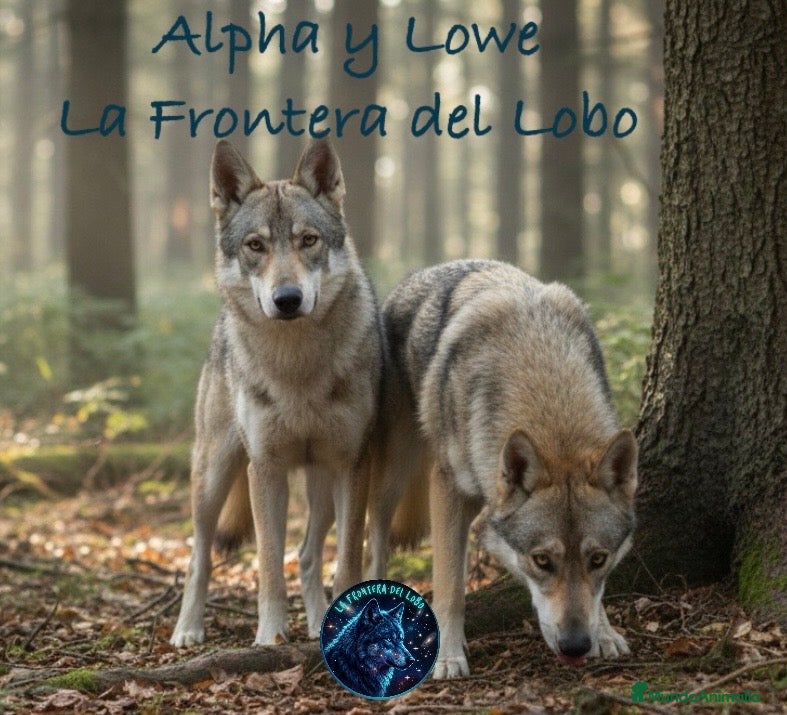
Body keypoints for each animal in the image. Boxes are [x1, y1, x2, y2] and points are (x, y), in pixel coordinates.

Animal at [170, 139, 383, 647]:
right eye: (256, 246)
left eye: (308, 240)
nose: (287, 299)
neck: (296, 368)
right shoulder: (264, 468)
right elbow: (268, 564)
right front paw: (270, 636)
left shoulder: (353, 464)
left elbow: (346, 560)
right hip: (214, 474)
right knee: (199, 555)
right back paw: (187, 629)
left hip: (321, 482)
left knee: (307, 555)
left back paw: (319, 620)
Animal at [366, 259, 637, 678]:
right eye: (542, 561)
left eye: (598, 559)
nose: (575, 646)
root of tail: (418, 275)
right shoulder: (446, 485)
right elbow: (450, 586)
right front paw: (447, 658)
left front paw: (605, 634)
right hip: (396, 475)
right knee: (375, 534)